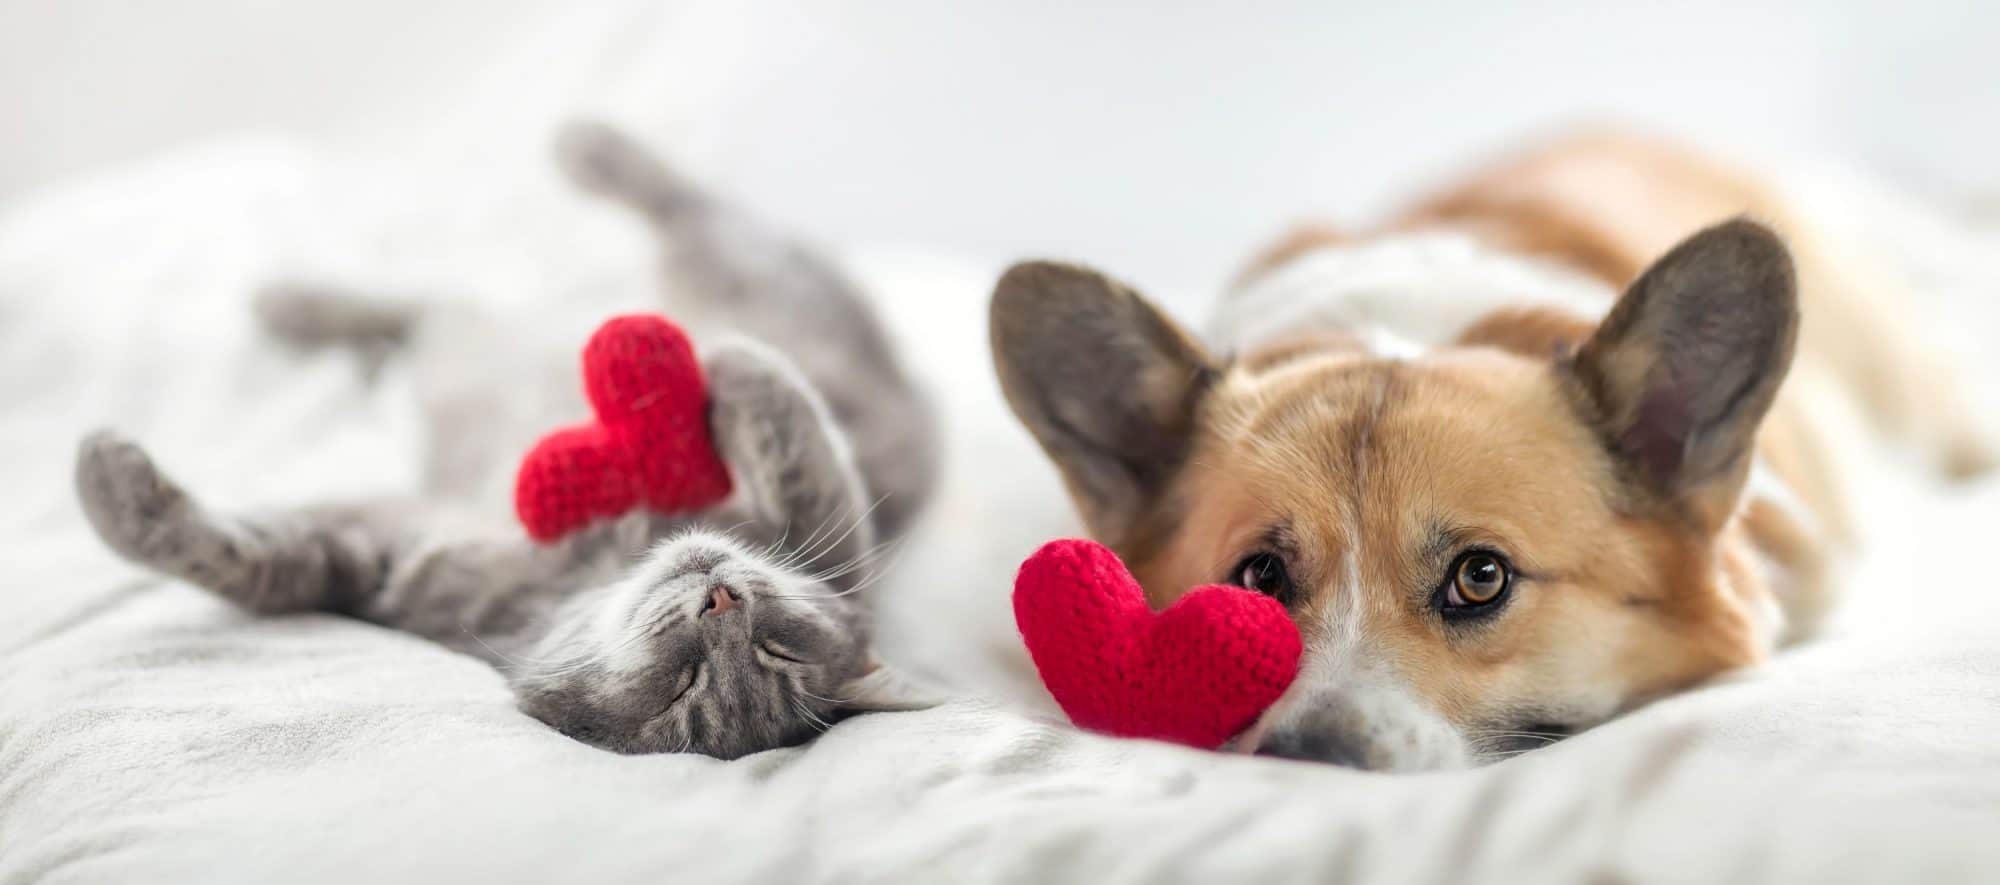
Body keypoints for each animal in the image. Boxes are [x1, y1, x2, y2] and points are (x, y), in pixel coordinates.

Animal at [74, 122, 940, 760]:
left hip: (733, 280)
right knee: (435, 300)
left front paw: (108, 483)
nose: (722, 598)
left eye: (698, 683)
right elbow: (247, 556)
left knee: (680, 218)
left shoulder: (375, 557)